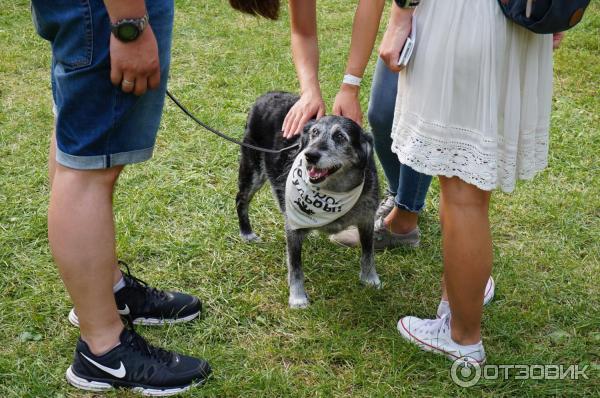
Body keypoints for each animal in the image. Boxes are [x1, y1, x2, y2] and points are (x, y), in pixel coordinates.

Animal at [234, 92, 380, 308]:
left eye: (340, 137)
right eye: (314, 133)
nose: (309, 155)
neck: (333, 191)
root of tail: (266, 95)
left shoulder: (367, 219)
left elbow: (368, 253)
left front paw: (370, 278)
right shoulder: (293, 229)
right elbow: (295, 267)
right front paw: (297, 298)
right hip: (252, 170)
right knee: (240, 200)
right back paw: (246, 233)